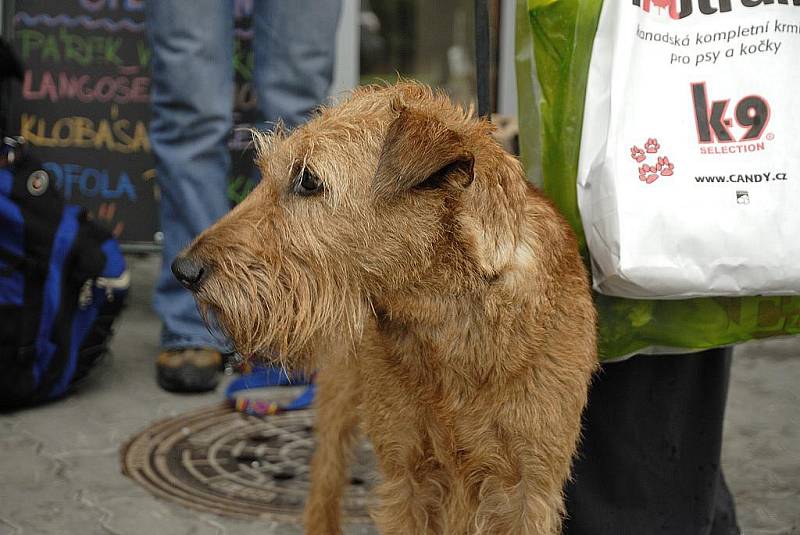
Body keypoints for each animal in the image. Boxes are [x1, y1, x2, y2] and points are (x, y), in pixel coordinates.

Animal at [172, 81, 596, 532]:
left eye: (308, 180)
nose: (183, 269)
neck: (448, 321)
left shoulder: (529, 489)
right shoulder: (407, 474)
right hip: (339, 393)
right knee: (325, 476)